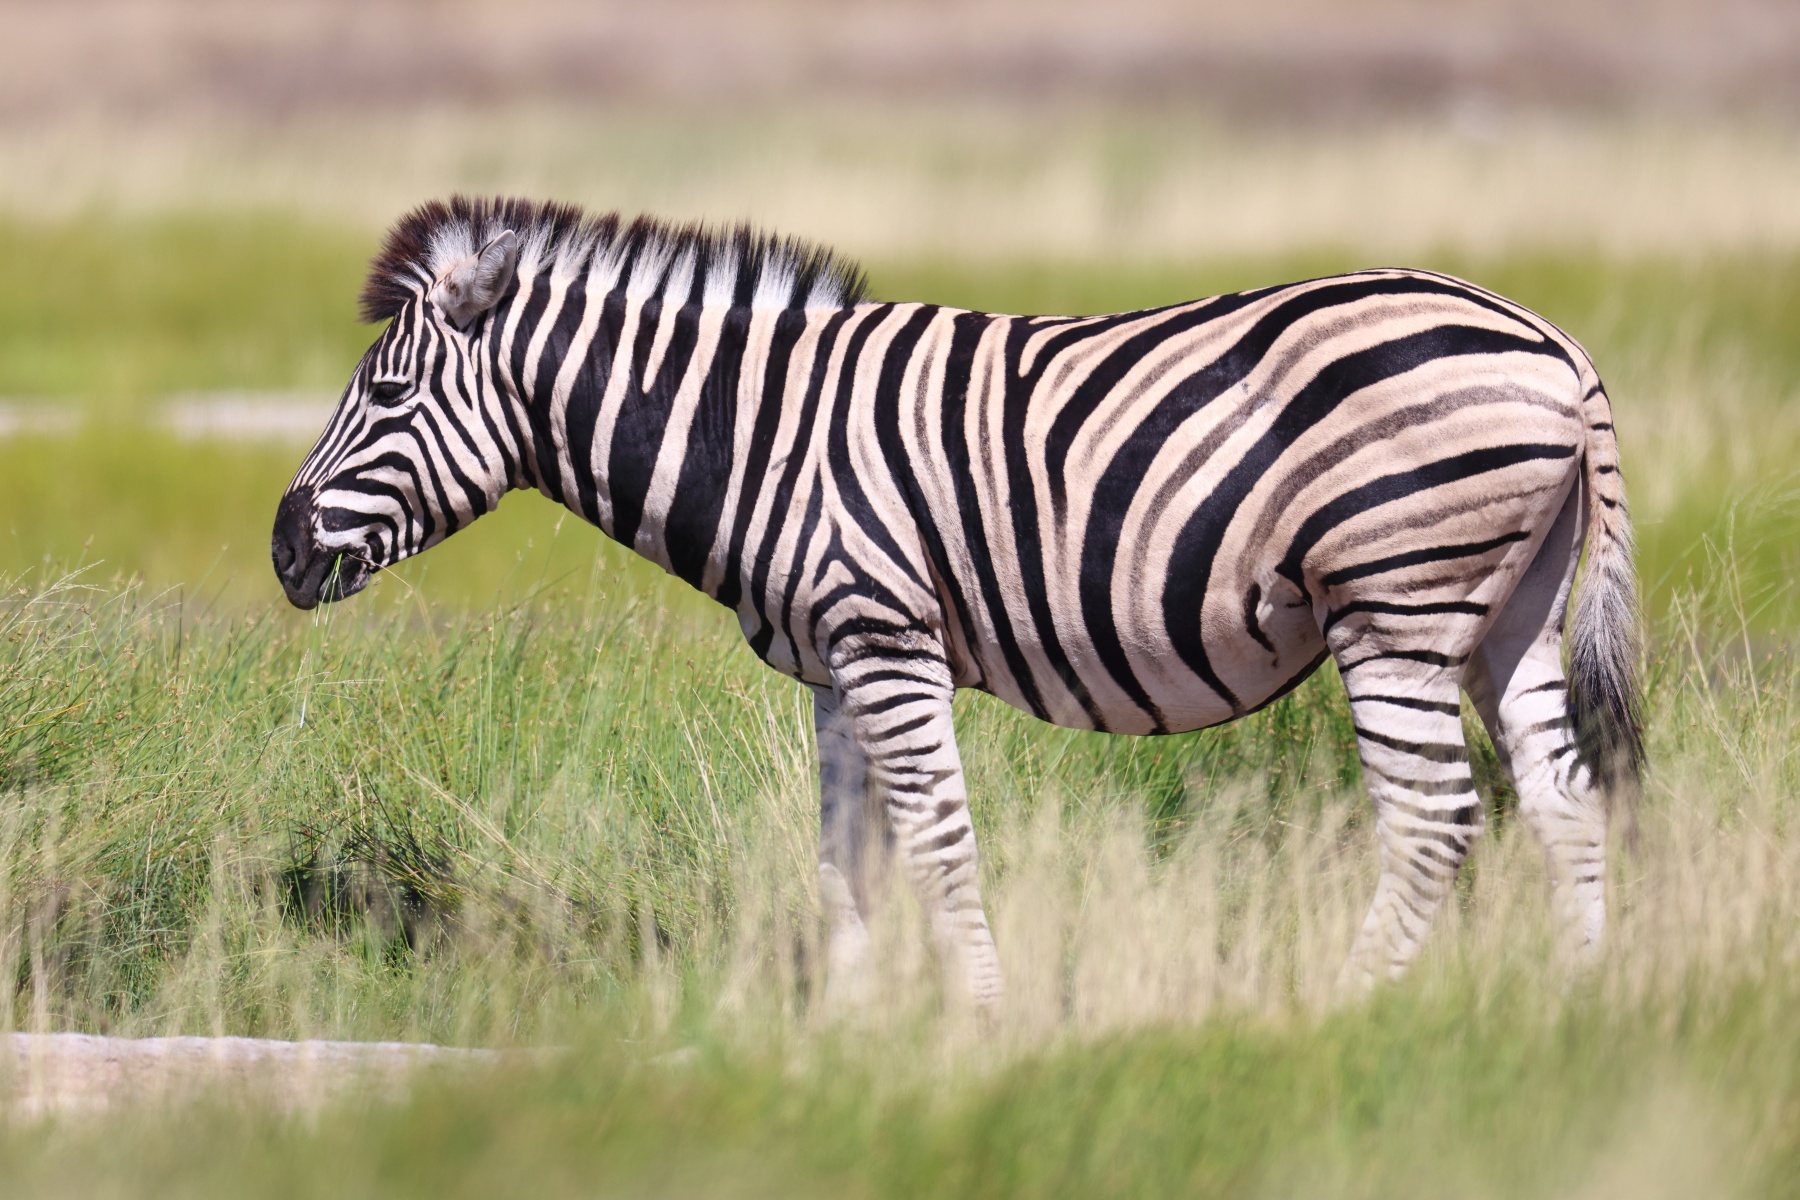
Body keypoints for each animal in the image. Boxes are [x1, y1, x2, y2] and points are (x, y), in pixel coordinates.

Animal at [273, 196, 1643, 1005]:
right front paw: (848, 1031)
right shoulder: (835, 658)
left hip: (1394, 605)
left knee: (1434, 821)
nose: (282, 550)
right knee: (1563, 799)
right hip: (1510, 611)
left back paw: (1341, 1013)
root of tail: (1556, 347)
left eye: (385, 397)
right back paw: (1578, 1013)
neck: (760, 436)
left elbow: (936, 840)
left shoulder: (888, 636)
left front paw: (979, 1022)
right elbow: (844, 853)